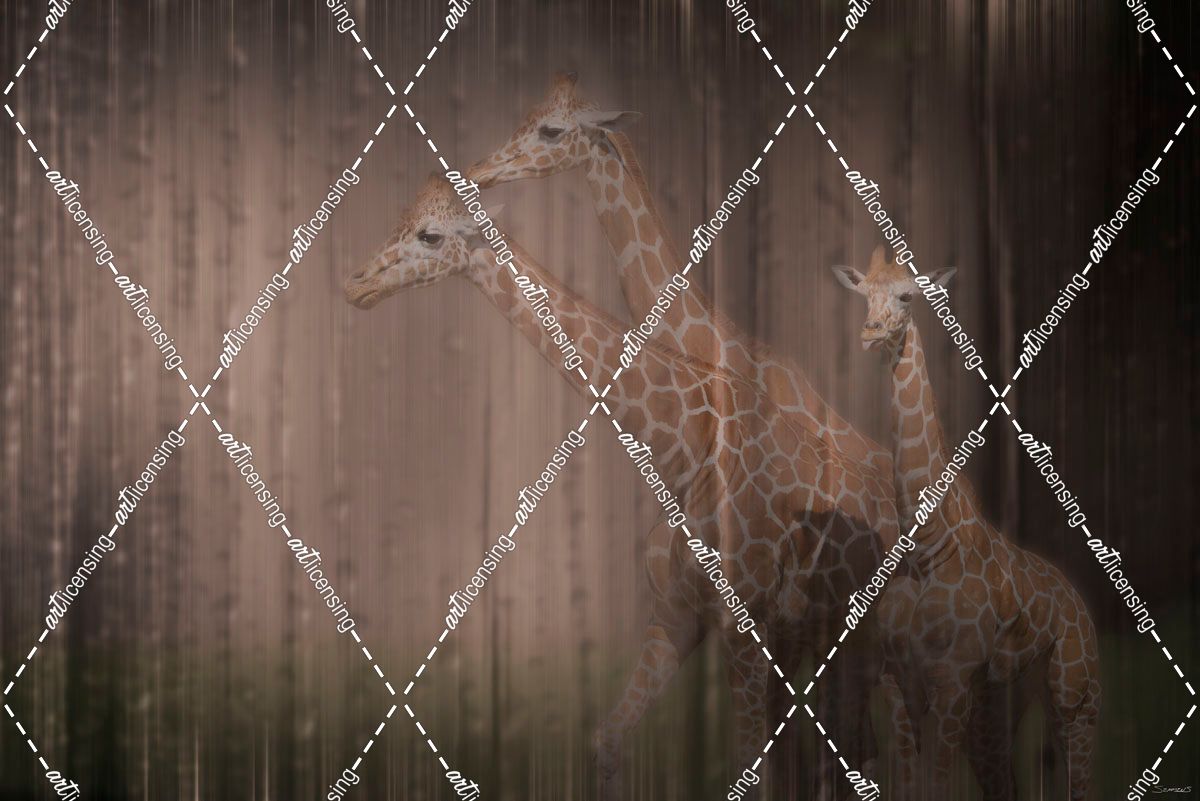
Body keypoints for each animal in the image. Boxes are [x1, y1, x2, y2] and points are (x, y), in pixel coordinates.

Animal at [344, 176, 887, 800]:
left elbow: (751, 768)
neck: (686, 451)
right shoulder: (675, 616)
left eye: (430, 235)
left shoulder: (746, 626)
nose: (355, 284)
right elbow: (605, 740)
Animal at [832, 247, 1101, 801]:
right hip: (1002, 703)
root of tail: (1080, 605)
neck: (926, 550)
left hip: (1075, 694)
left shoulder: (953, 678)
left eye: (908, 295)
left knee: (1082, 781)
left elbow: (935, 784)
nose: (870, 332)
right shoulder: (900, 680)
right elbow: (908, 782)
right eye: (863, 293)